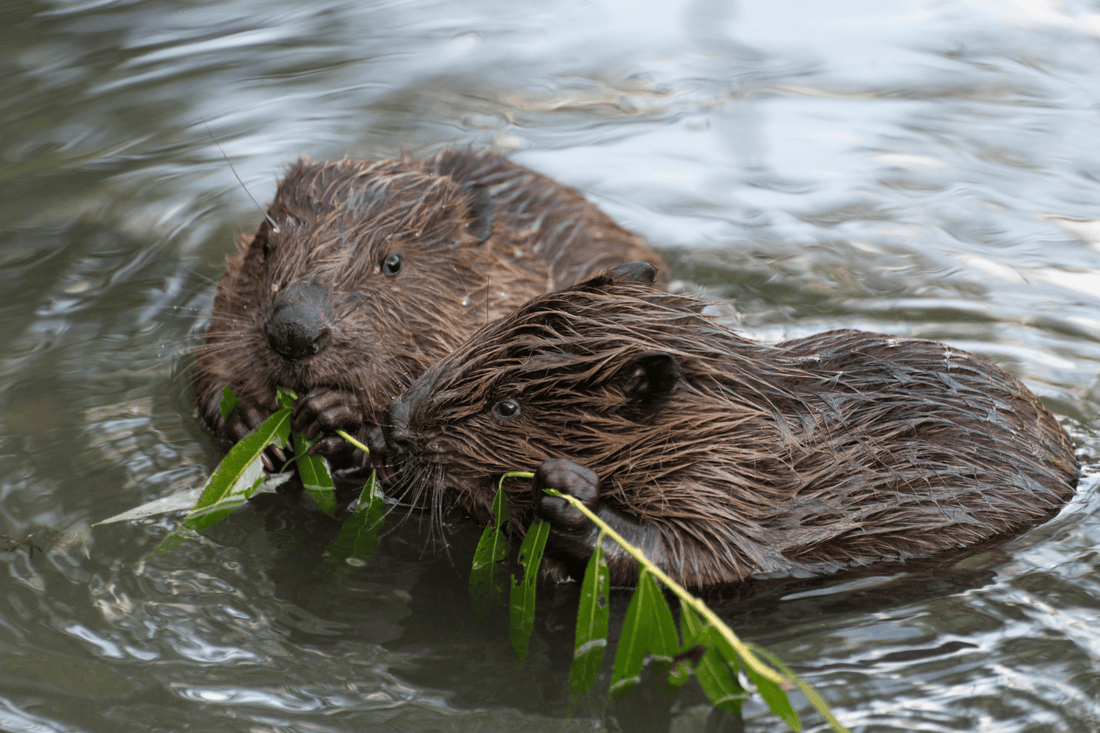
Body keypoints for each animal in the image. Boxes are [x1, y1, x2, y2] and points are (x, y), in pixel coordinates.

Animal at [192, 149, 664, 471]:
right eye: (266, 248)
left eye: (393, 263)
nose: (293, 332)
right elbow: (211, 364)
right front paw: (247, 419)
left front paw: (335, 411)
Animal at [374, 259, 1078, 585]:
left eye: (508, 405)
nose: (398, 426)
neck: (740, 417)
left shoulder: (739, 482)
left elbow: (702, 555)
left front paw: (569, 495)